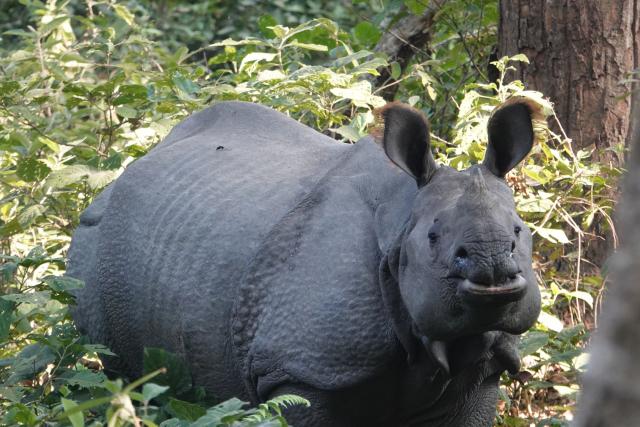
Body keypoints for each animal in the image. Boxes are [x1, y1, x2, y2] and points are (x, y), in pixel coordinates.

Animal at [68, 99, 541, 426]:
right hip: (94, 239)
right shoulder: (299, 370)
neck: (401, 219)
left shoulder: (483, 369)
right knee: (121, 373)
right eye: (433, 238)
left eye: (519, 232)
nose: (493, 266)